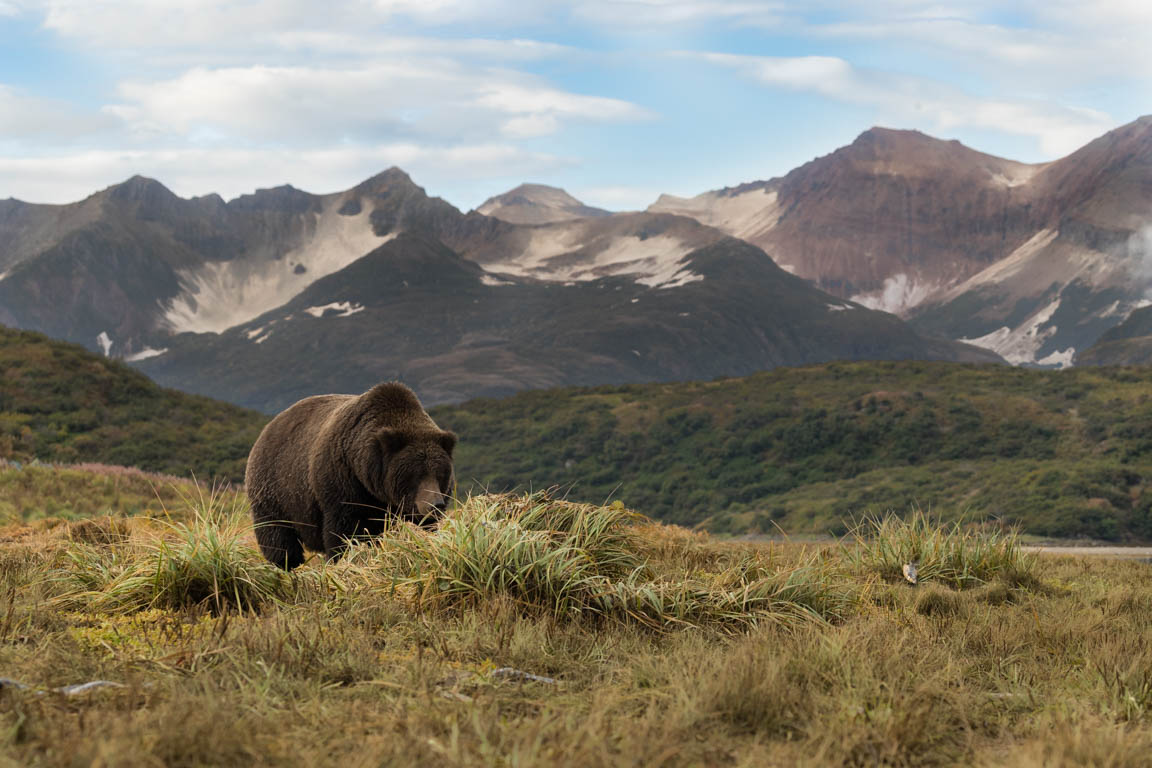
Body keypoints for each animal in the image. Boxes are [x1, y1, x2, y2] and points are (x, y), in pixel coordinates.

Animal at [246, 382, 453, 568]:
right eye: (415, 474)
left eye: (441, 473)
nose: (436, 505)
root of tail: (269, 427)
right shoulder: (342, 484)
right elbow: (343, 532)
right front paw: (343, 559)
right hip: (276, 490)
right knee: (279, 538)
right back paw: (286, 565)